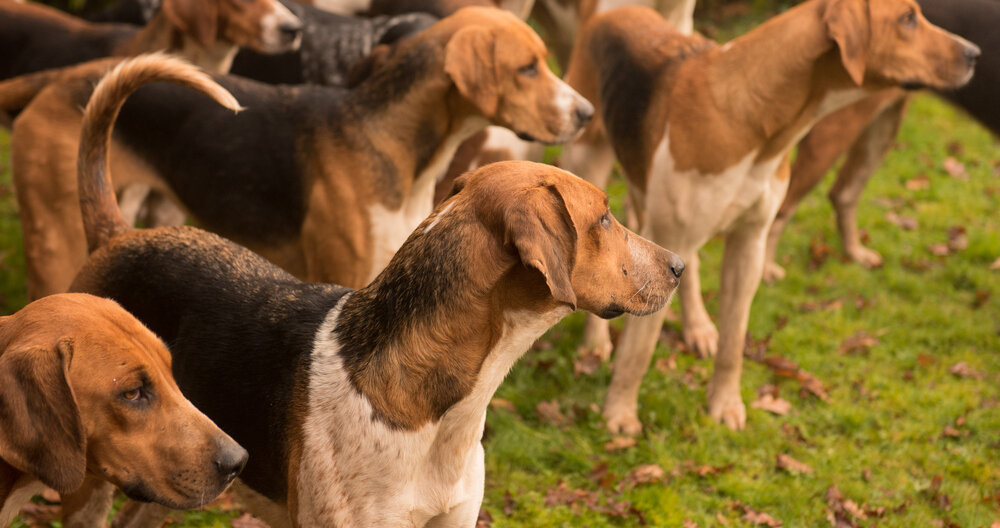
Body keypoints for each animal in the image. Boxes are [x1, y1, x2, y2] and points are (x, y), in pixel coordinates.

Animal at [560, 0, 980, 432]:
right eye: (907, 19)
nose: (974, 54)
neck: (752, 119)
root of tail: (615, 11)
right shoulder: (669, 240)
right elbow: (638, 350)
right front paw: (619, 413)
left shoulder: (749, 246)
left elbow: (734, 342)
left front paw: (725, 404)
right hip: (591, 167)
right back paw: (595, 343)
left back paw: (698, 328)